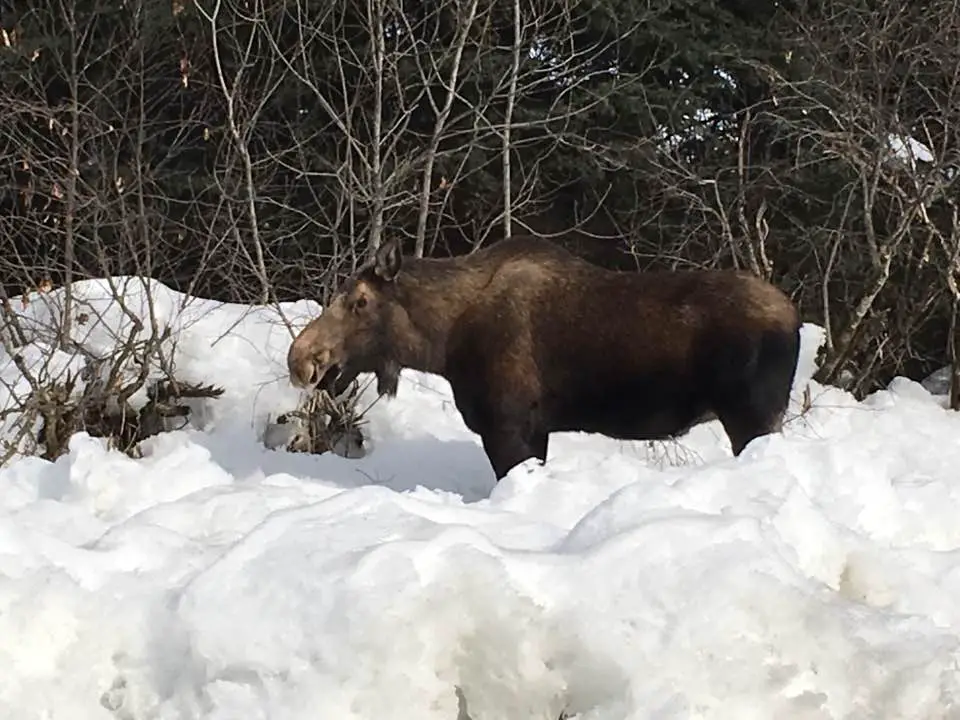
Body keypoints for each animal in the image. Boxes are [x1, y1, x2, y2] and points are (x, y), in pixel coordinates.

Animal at [286, 236, 804, 480]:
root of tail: (794, 318)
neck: (443, 343)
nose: (301, 358)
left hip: (753, 415)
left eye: (359, 301)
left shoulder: (508, 425)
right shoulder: (536, 432)